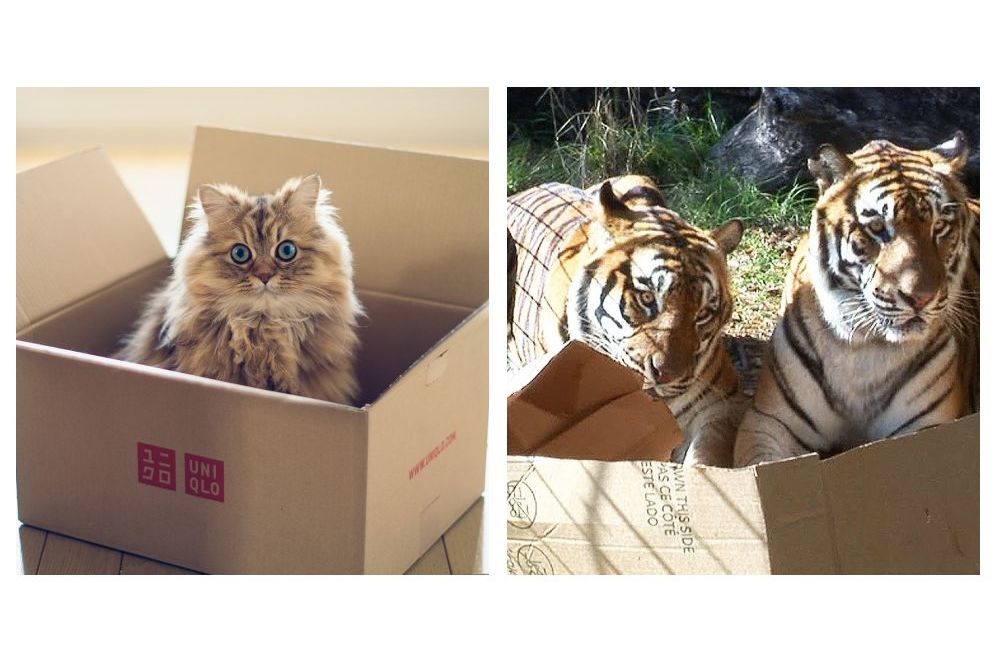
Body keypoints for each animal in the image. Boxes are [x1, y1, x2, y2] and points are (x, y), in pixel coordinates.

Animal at [734, 133, 979, 467]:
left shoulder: (931, 428)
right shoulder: (768, 421)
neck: (864, 348)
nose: (920, 298)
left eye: (939, 227)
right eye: (877, 228)